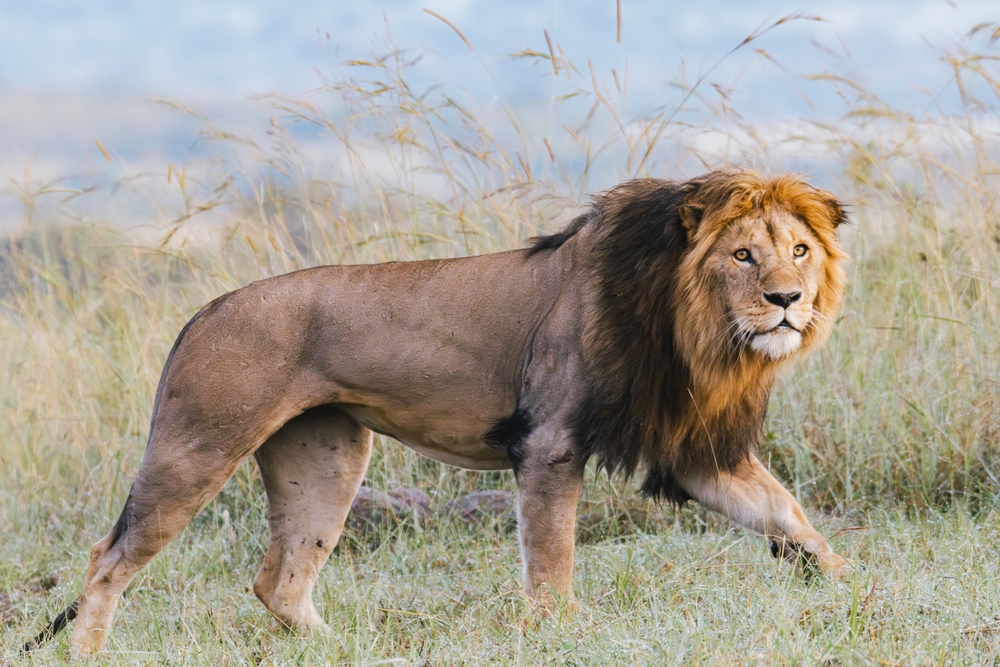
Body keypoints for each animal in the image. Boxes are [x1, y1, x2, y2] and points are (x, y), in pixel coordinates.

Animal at [26, 169, 850, 655]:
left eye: (800, 251)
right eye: (742, 256)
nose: (787, 301)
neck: (691, 325)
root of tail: (206, 308)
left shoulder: (691, 450)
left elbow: (785, 511)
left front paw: (847, 584)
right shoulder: (548, 442)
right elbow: (552, 557)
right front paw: (562, 632)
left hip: (326, 456)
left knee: (279, 580)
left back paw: (343, 647)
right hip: (197, 446)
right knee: (107, 560)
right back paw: (91, 652)